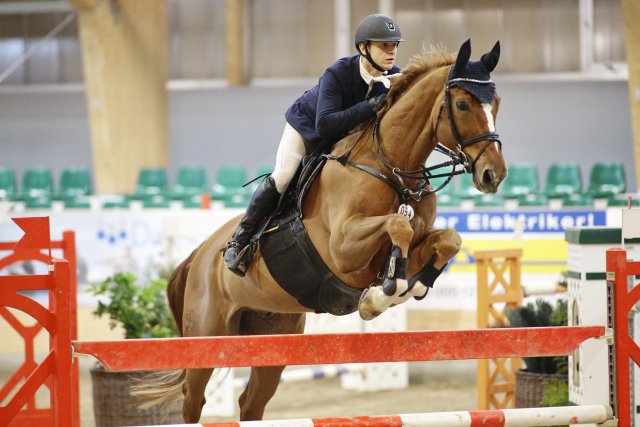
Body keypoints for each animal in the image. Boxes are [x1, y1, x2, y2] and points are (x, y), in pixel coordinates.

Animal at [135, 38, 504, 422]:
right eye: (462, 104)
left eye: (496, 103)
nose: (493, 175)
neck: (391, 167)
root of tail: (199, 255)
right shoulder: (343, 251)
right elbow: (397, 226)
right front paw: (383, 294)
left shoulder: (407, 243)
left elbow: (447, 239)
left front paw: (410, 285)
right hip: (207, 337)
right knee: (192, 399)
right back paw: (236, 250)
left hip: (270, 335)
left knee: (251, 402)